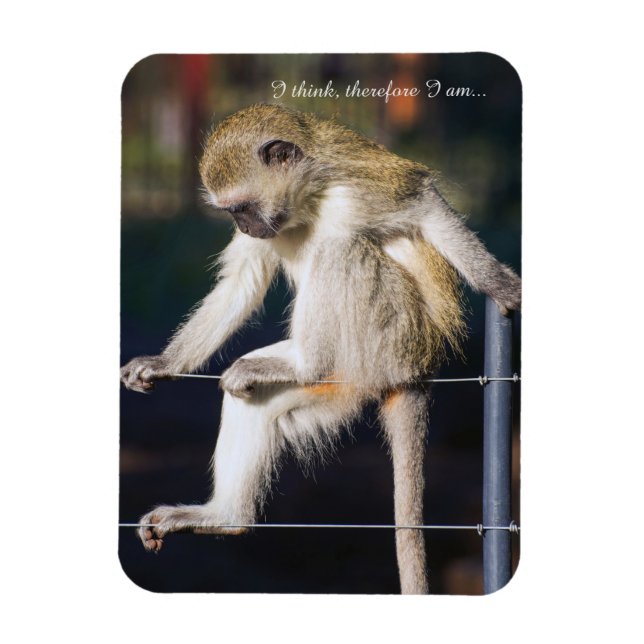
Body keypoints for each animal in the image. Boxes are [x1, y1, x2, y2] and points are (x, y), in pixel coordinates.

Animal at [120, 103, 521, 594]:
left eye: (242, 208)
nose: (244, 226)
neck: (308, 200)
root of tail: (419, 367)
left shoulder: (358, 189)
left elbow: (425, 205)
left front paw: (498, 282)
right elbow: (240, 284)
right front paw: (162, 363)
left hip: (389, 338)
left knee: (340, 249)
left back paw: (306, 362)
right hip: (350, 381)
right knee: (254, 398)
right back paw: (225, 516)